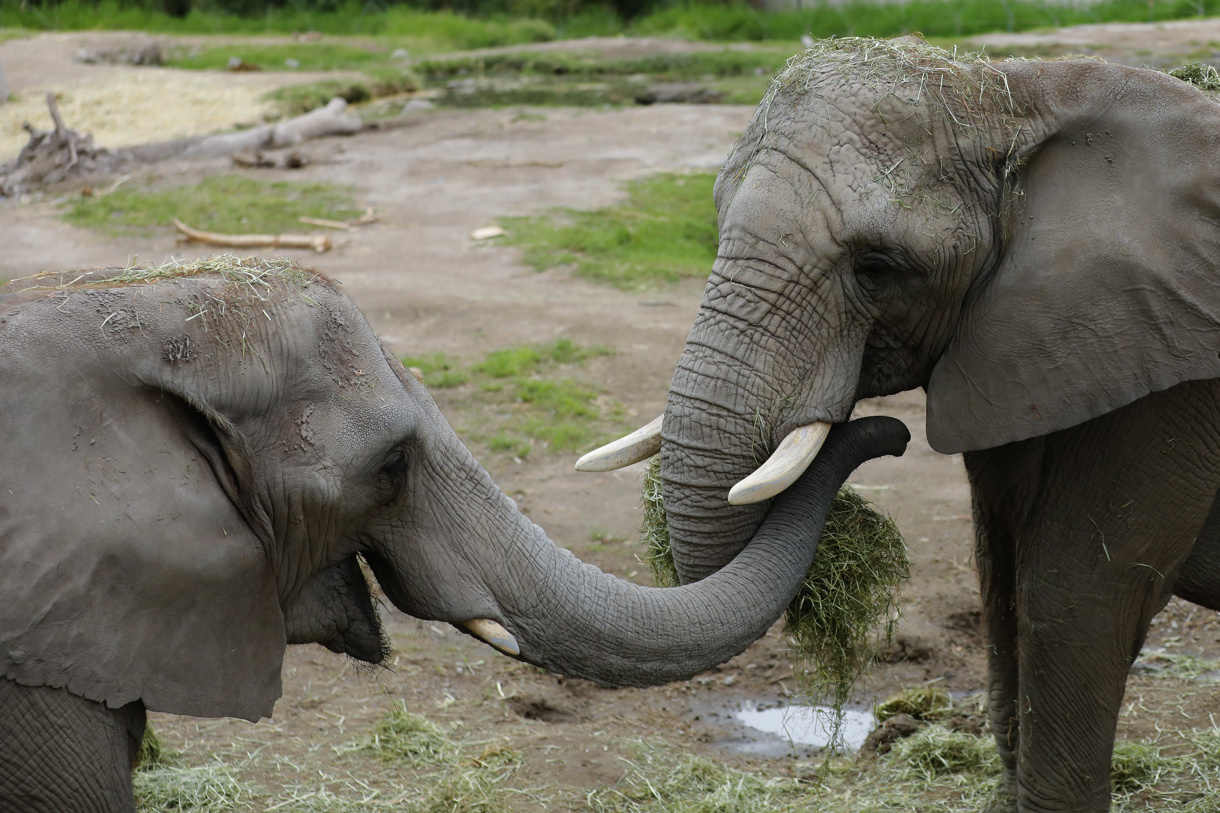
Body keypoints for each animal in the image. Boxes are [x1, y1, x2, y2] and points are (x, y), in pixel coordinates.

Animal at [576, 39, 1220, 812]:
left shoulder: (1168, 377)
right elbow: (1001, 574)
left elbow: (1075, 595)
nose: (890, 435)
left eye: (877, 268)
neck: (1013, 94)